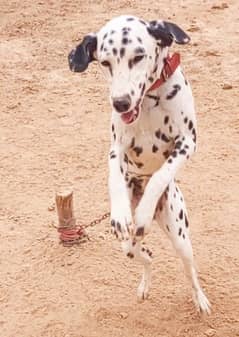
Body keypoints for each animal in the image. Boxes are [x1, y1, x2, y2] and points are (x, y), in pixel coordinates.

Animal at [67, 14, 211, 314]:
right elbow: (113, 178)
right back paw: (144, 275)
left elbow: (159, 176)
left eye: (139, 56)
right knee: (144, 253)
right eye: (105, 62)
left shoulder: (187, 143)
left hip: (181, 236)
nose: (121, 102)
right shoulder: (116, 148)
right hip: (129, 246)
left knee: (190, 270)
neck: (149, 102)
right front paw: (121, 213)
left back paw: (199, 298)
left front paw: (143, 212)